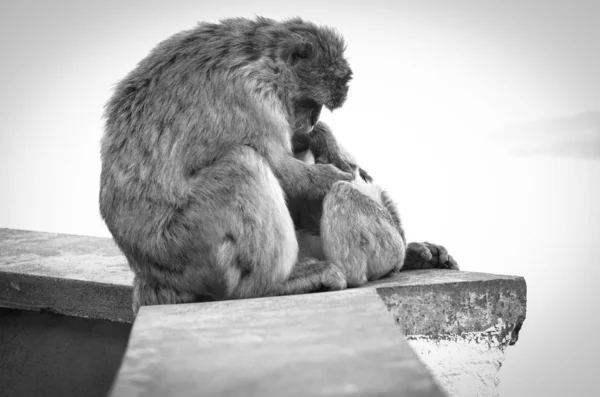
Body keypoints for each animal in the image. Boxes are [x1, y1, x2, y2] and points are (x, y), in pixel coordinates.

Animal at [101, 17, 356, 312]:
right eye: (311, 103)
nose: (313, 122)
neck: (262, 60)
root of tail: (148, 273)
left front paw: (325, 140)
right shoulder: (249, 97)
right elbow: (279, 168)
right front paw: (329, 178)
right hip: (184, 244)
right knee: (243, 165)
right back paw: (274, 284)